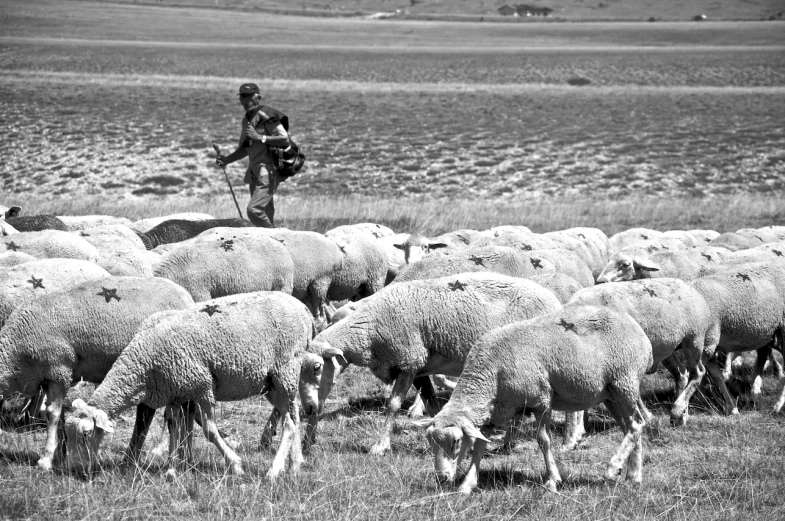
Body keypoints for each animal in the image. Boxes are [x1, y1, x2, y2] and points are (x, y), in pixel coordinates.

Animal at [0, 274, 194, 470]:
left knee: (171, 416)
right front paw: (61, 454)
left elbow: (52, 415)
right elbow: (60, 417)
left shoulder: (58, 369)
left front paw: (46, 459)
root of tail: (186, 296)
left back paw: (163, 454)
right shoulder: (51, 376)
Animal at [63, 290, 312, 478]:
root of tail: (304, 310)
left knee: (290, 423)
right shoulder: (176, 392)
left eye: (86, 434)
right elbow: (174, 427)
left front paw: (235, 464)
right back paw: (294, 465)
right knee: (293, 416)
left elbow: (210, 431)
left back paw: (274, 471)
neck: (144, 362)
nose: (76, 470)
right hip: (272, 383)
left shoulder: (202, 386)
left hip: (285, 370)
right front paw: (172, 469)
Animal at [298, 272, 560, 456]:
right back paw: (508, 443)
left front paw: (380, 446)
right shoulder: (419, 369)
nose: (308, 409)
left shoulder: (408, 362)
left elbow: (393, 405)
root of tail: (554, 300)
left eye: (317, 367)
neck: (369, 328)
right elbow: (433, 404)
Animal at [414, 304, 652, 492]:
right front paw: (467, 484)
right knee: (632, 427)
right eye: (430, 442)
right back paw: (633, 476)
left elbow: (543, 440)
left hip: (625, 382)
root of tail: (635, 327)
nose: (442, 478)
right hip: (610, 395)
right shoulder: (495, 412)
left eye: (455, 441)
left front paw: (552, 480)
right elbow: (480, 446)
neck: (491, 373)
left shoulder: (541, 401)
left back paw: (613, 469)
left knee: (636, 425)